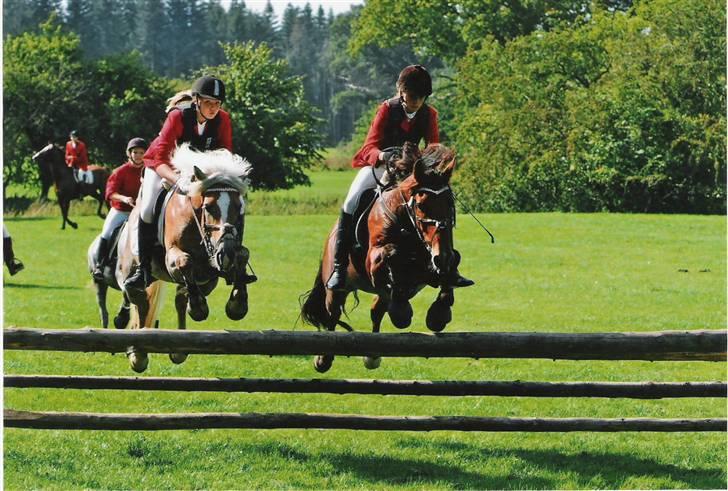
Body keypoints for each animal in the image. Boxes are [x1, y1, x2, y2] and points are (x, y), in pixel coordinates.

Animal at [118, 144, 255, 374]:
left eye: (239, 208)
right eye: (209, 207)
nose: (225, 252)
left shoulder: (211, 269)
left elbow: (243, 255)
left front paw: (237, 305)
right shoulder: (173, 258)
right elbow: (184, 262)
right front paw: (199, 309)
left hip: (203, 281)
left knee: (180, 298)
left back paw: (179, 349)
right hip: (131, 270)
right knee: (139, 298)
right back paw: (139, 354)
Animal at [302, 142, 460, 372]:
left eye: (450, 204)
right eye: (421, 204)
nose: (441, 257)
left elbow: (451, 268)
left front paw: (438, 315)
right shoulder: (374, 260)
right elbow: (389, 256)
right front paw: (402, 311)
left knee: (376, 310)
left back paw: (372, 356)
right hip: (336, 286)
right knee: (333, 313)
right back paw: (324, 358)